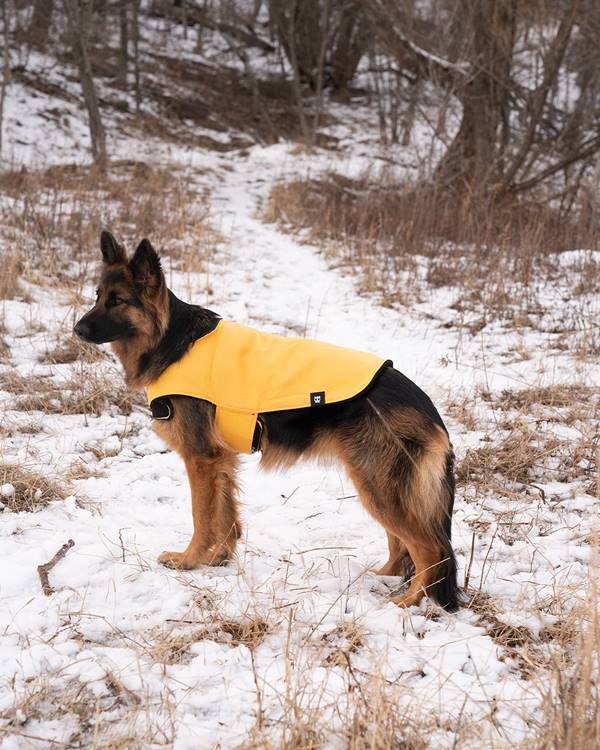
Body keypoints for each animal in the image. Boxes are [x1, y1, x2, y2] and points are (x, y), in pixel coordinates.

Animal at [75, 234, 460, 612]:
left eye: (118, 300)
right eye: (97, 296)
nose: (77, 329)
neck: (173, 341)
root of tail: (426, 405)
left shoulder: (200, 459)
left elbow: (202, 515)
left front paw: (189, 560)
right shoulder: (221, 460)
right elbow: (226, 515)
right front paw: (218, 559)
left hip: (377, 485)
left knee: (431, 549)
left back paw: (409, 600)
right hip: (378, 484)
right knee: (401, 546)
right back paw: (383, 579)